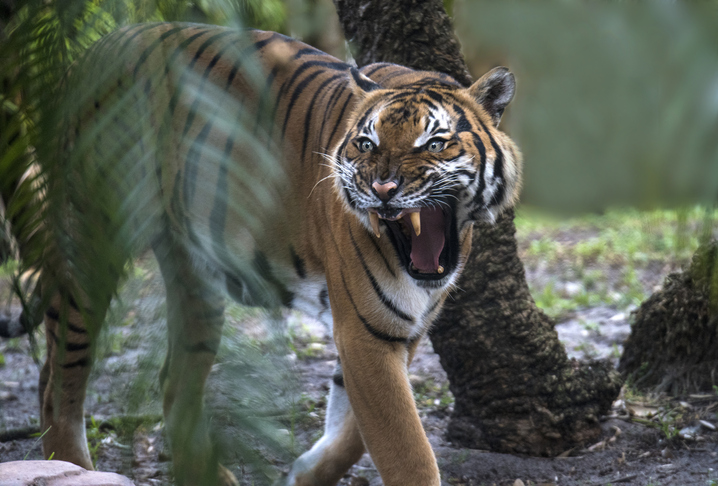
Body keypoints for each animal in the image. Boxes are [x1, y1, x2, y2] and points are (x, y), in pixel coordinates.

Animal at [37, 22, 522, 486]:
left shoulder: (401, 328)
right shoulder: (365, 329)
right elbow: (405, 449)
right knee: (57, 374)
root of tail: (93, 51)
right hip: (92, 237)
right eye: (367, 144)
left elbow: (353, 432)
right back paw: (74, 466)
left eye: (434, 143)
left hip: (195, 278)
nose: (382, 188)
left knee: (172, 380)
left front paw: (301, 475)